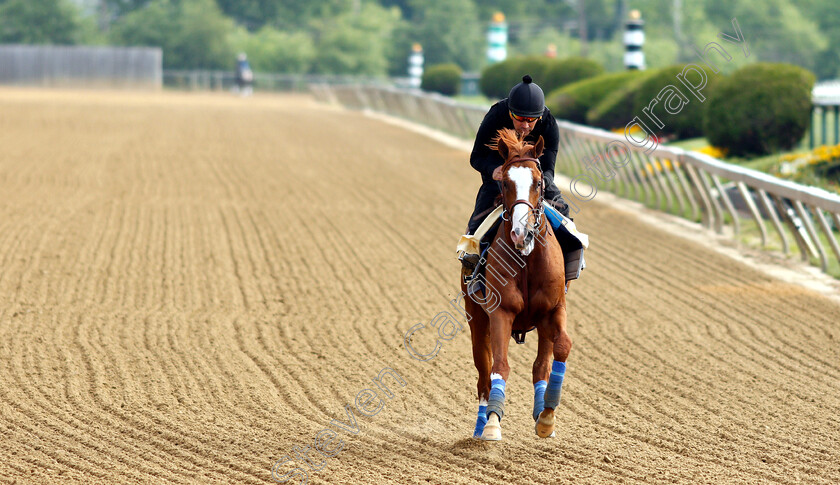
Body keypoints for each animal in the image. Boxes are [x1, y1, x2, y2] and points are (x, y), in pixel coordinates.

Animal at [462, 127, 576, 438]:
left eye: (538, 182)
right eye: (505, 183)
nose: (521, 233)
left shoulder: (554, 309)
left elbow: (561, 347)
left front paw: (547, 415)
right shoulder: (501, 312)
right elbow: (499, 366)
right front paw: (492, 423)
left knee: (540, 366)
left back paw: (541, 412)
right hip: (476, 319)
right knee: (483, 373)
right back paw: (480, 424)